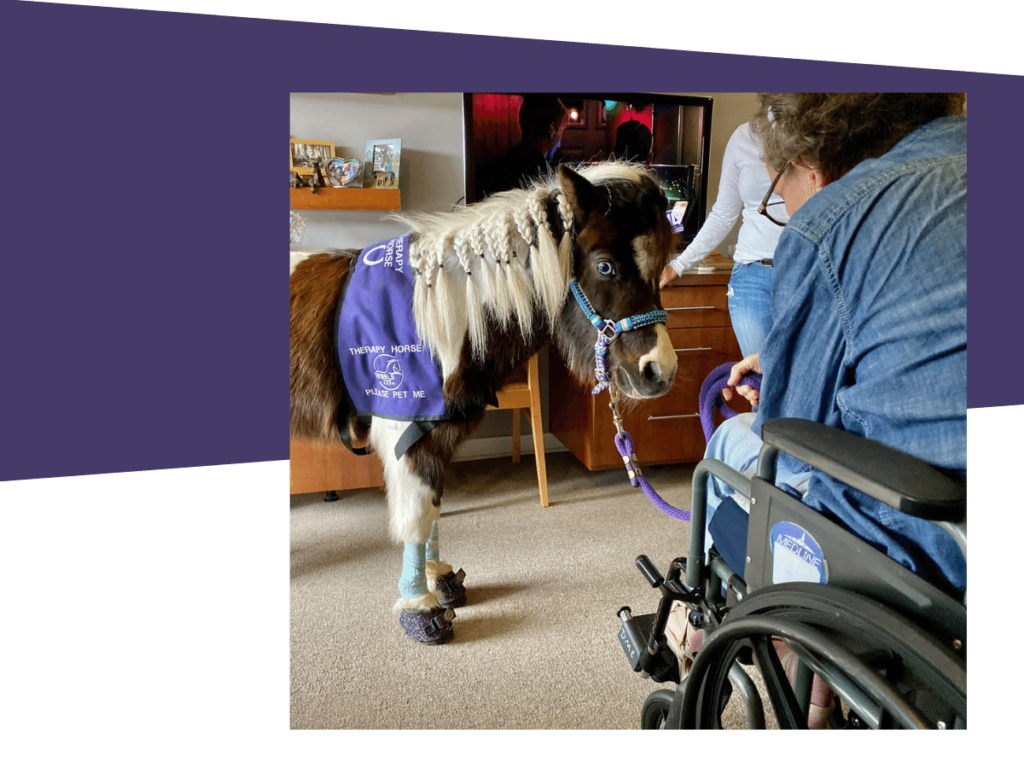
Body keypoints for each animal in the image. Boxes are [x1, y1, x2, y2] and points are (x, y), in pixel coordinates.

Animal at [292, 162, 675, 643]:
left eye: (661, 266)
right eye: (606, 265)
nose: (660, 371)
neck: (439, 316)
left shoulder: (436, 436)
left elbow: (434, 510)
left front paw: (439, 577)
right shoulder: (406, 436)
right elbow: (416, 516)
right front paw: (419, 606)